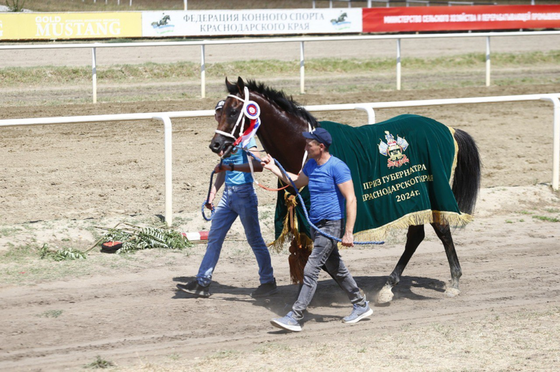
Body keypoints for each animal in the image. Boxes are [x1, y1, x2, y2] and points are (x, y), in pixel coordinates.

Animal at [210, 77, 482, 304]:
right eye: (218, 112)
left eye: (234, 111)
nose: (216, 144)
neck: (303, 146)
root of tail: (447, 129)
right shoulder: (304, 215)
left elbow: (325, 257)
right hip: (414, 199)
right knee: (417, 236)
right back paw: (388, 286)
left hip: (432, 192)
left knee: (442, 231)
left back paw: (453, 282)